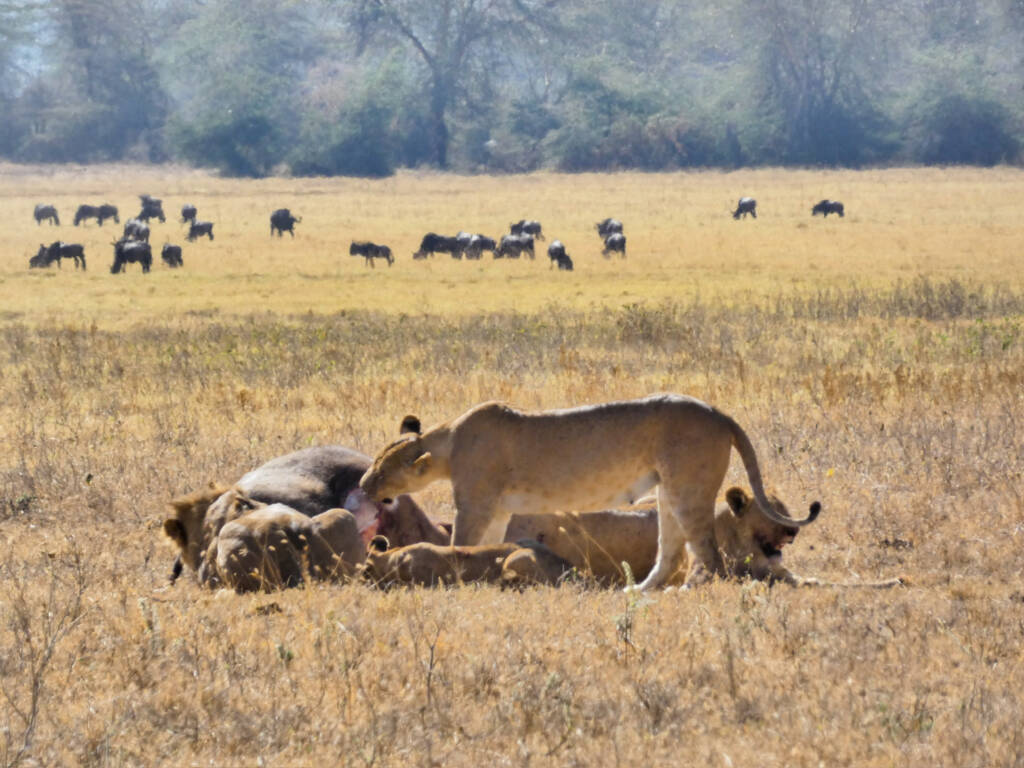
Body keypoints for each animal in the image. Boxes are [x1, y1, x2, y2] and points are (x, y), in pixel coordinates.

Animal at [359, 395, 820, 590]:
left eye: (381, 468)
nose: (363, 485)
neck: (449, 442)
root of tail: (719, 413)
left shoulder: (475, 503)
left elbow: (460, 542)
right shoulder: (499, 509)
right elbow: (486, 544)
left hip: (688, 487)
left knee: (708, 554)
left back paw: (689, 592)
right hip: (669, 491)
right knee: (672, 552)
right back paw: (638, 592)